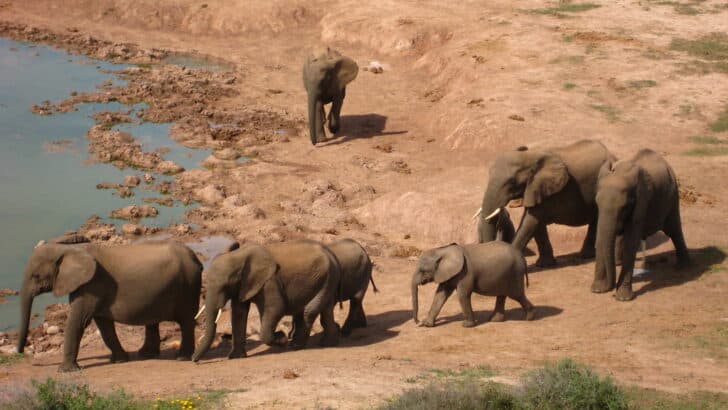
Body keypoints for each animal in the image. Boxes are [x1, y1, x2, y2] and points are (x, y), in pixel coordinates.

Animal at [17, 240, 203, 372]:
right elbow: (104, 325)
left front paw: (65, 371)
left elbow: (78, 321)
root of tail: (195, 258)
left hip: (188, 286)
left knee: (186, 321)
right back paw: (146, 354)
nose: (20, 353)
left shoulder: (91, 286)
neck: (68, 249)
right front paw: (119, 360)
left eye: (36, 276)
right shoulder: (91, 289)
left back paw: (182, 357)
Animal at [192, 240, 341, 361]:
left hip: (327, 277)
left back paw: (297, 345)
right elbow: (239, 313)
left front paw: (281, 339)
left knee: (309, 311)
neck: (240, 255)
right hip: (326, 278)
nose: (194, 360)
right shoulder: (243, 285)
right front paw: (235, 357)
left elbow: (276, 308)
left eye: (226, 285)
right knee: (325, 310)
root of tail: (331, 254)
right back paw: (328, 343)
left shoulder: (270, 281)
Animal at [477, 139, 616, 267]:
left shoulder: (545, 189)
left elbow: (530, 221)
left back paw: (586, 256)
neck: (530, 156)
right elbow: (536, 224)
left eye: (512, 182)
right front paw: (544, 264)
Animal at [591, 149, 690, 301]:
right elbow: (601, 238)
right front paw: (597, 290)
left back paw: (683, 267)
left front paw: (623, 298)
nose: (611, 287)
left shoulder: (642, 201)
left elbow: (631, 241)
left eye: (625, 207)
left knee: (674, 230)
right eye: (597, 202)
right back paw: (618, 263)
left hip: (672, 195)